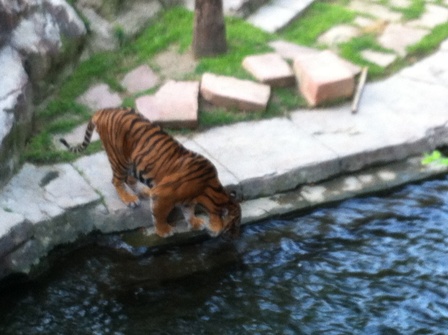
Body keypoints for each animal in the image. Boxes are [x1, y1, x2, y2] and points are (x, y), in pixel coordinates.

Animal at [60, 107, 242, 239]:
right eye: (233, 225)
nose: (236, 237)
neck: (209, 191)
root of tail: (102, 111)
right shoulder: (163, 194)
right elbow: (160, 214)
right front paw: (164, 231)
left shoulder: (187, 199)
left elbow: (188, 211)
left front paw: (195, 223)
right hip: (119, 158)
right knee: (116, 180)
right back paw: (130, 199)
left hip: (132, 162)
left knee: (130, 179)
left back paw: (143, 192)